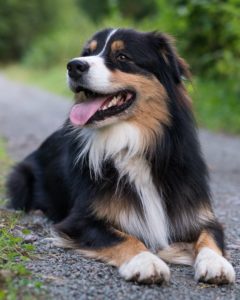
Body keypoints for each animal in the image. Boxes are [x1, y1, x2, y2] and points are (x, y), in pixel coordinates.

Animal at [7, 27, 234, 284]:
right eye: (87, 53)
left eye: (122, 57)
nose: (74, 66)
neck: (132, 144)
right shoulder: (80, 219)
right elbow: (123, 237)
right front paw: (146, 262)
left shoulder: (198, 214)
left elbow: (210, 237)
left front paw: (216, 263)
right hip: (20, 177)